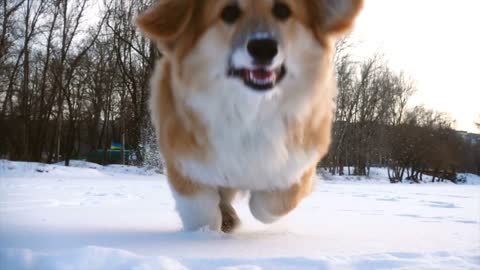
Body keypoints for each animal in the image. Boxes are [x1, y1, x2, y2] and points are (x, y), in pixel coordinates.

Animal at [137, 0, 362, 232]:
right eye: (229, 12)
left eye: (283, 10)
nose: (263, 47)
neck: (252, 110)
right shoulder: (184, 160)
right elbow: (201, 210)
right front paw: (207, 232)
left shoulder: (300, 162)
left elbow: (270, 204)